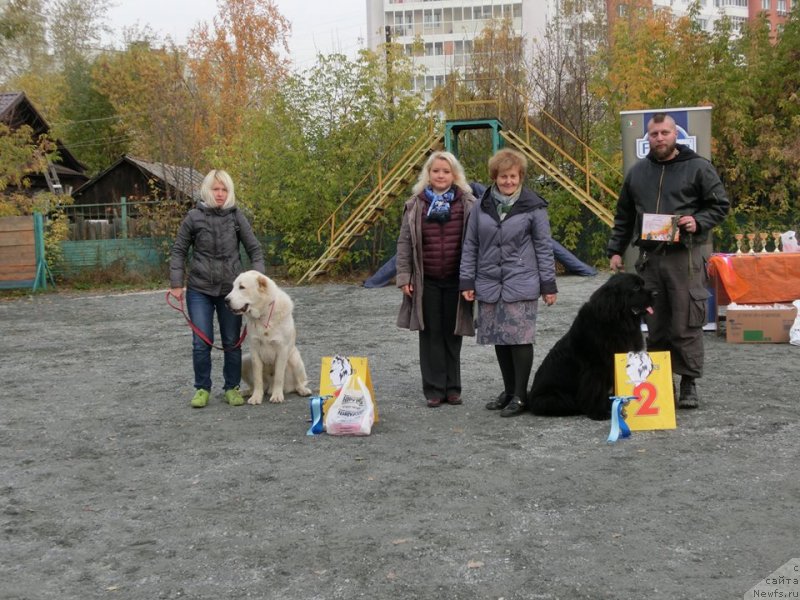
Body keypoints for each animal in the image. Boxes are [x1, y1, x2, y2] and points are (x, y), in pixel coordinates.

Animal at [227, 272, 314, 404]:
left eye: (242, 287)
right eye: (233, 287)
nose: (225, 300)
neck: (264, 314)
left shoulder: (282, 349)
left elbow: (278, 376)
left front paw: (277, 396)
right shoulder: (254, 350)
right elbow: (257, 379)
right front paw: (256, 397)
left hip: (294, 359)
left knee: (298, 383)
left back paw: (302, 390)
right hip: (244, 361)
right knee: (255, 386)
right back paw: (245, 392)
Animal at [524, 274, 656, 420]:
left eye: (643, 284)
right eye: (636, 287)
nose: (656, 293)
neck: (618, 321)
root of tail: (530, 398)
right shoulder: (595, 368)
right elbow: (595, 389)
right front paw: (599, 412)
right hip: (553, 398)